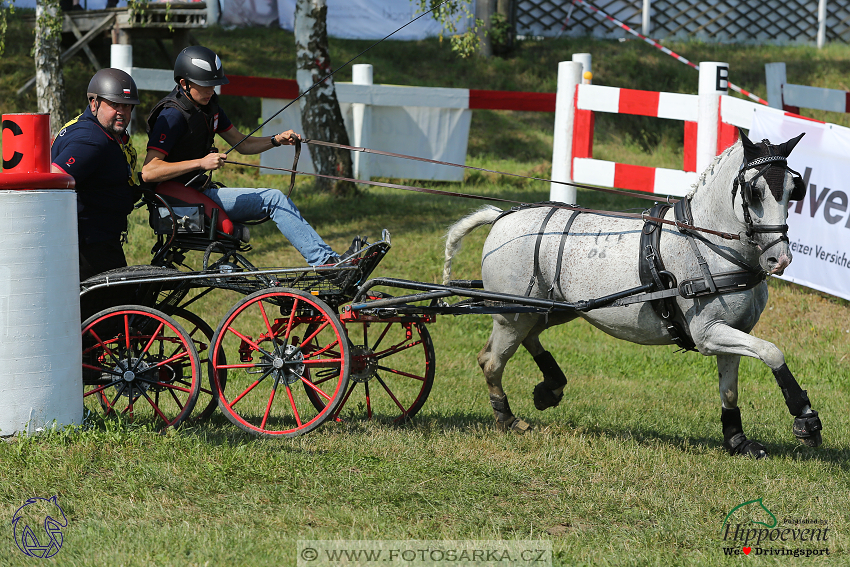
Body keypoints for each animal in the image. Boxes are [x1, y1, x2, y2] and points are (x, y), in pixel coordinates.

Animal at [444, 132, 820, 458]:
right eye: (754, 191)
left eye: (793, 189)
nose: (779, 259)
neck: (707, 243)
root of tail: (502, 216)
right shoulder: (708, 334)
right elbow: (772, 352)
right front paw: (805, 416)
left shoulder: (733, 331)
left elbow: (729, 387)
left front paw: (737, 440)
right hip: (512, 313)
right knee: (491, 361)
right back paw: (507, 418)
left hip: (552, 309)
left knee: (528, 338)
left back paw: (550, 386)